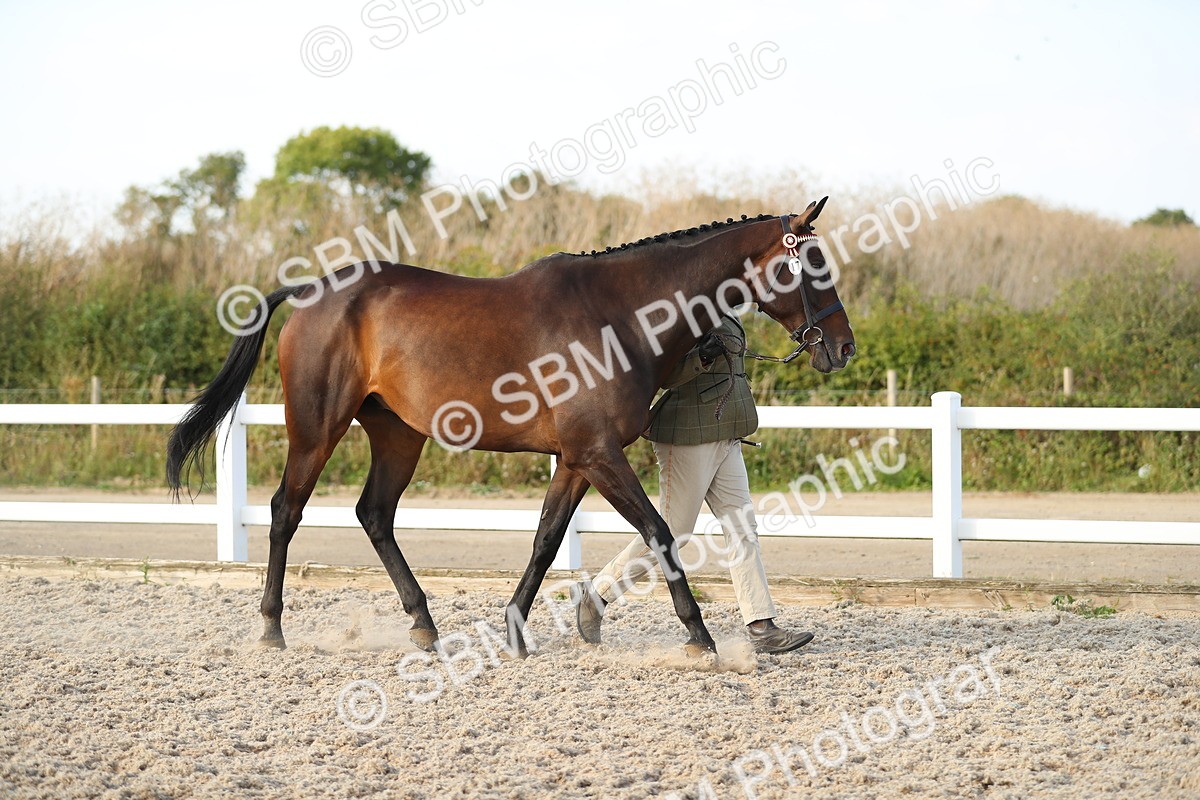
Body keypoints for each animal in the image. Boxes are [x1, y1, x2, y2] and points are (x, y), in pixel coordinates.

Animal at [166, 197, 855, 657]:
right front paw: (700, 637)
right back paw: (272, 627)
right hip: (316, 428)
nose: (843, 348)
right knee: (286, 511)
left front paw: (517, 630)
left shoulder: (577, 458)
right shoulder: (599, 453)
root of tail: (312, 291)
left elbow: (547, 539)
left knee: (375, 514)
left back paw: (424, 626)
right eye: (813, 267)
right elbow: (659, 534)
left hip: (398, 434)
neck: (619, 314)